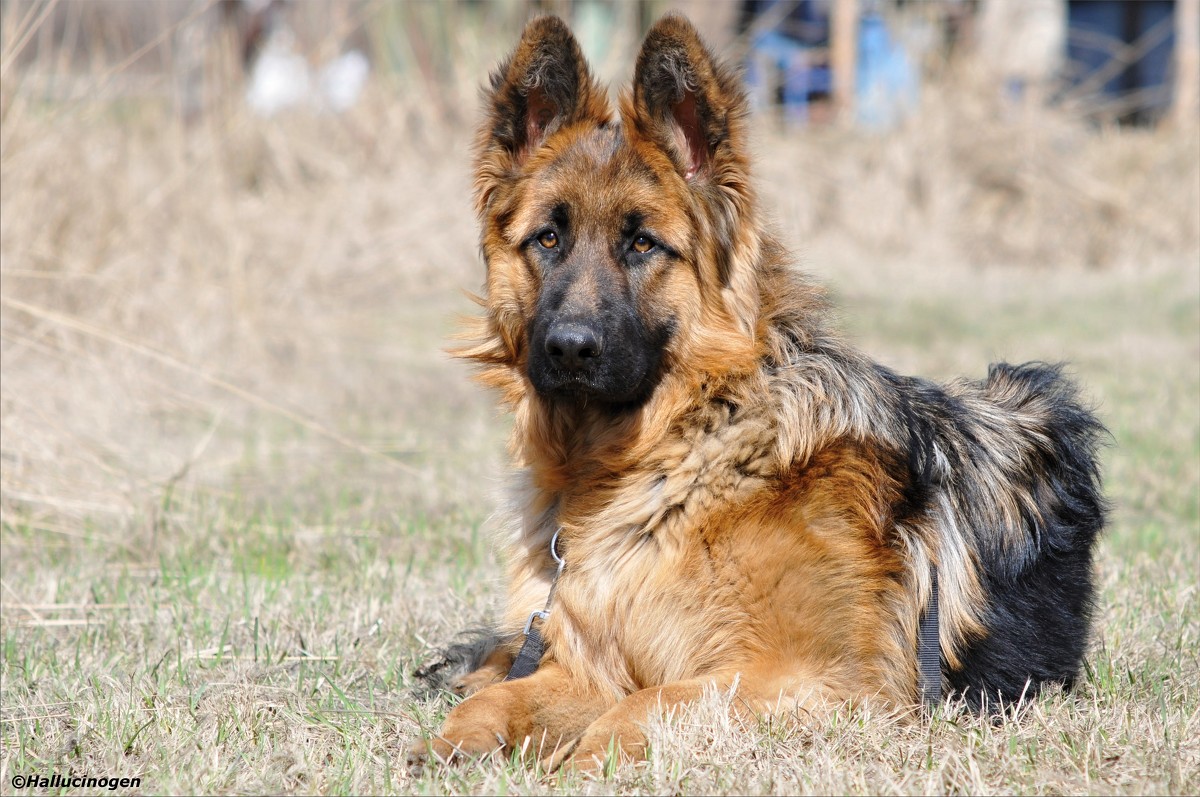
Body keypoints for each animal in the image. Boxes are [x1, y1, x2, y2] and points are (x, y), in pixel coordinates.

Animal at [410, 12, 1104, 772]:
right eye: (547, 239)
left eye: (643, 245)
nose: (569, 349)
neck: (676, 457)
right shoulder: (589, 663)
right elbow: (497, 699)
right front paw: (453, 741)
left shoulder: (817, 681)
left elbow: (647, 704)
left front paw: (586, 762)